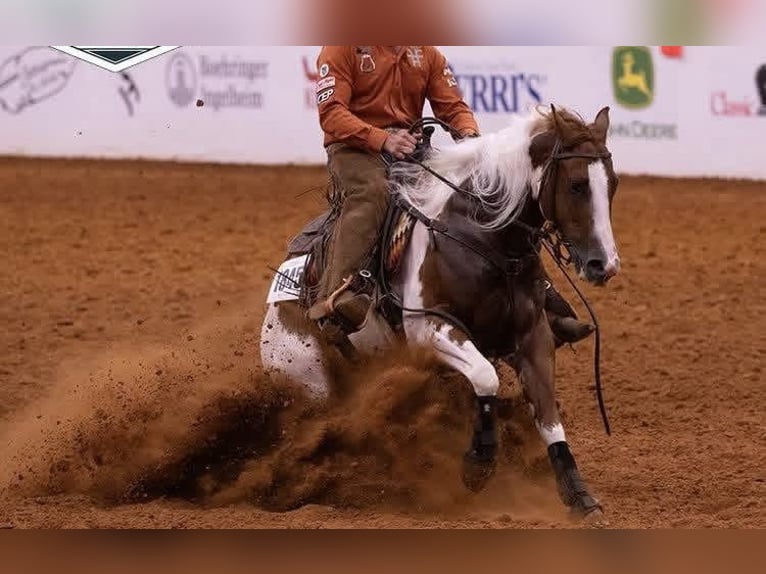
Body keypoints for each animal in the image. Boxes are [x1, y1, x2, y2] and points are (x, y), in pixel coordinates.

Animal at [259, 105, 620, 519]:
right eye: (577, 185)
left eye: (613, 184)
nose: (604, 265)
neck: (484, 237)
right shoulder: (430, 328)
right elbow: (485, 378)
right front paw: (478, 463)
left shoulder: (533, 335)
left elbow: (546, 412)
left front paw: (578, 494)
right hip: (310, 381)